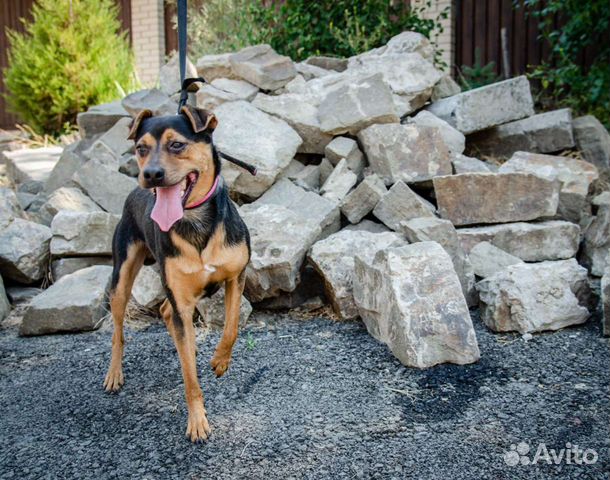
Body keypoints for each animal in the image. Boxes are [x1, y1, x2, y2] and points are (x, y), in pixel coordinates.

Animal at [104, 106, 249, 442]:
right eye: (141, 148)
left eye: (177, 145)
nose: (151, 174)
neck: (194, 219)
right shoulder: (182, 298)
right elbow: (189, 377)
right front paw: (197, 421)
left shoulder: (236, 277)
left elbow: (232, 327)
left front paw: (220, 361)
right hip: (122, 278)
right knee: (119, 331)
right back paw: (114, 373)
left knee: (165, 311)